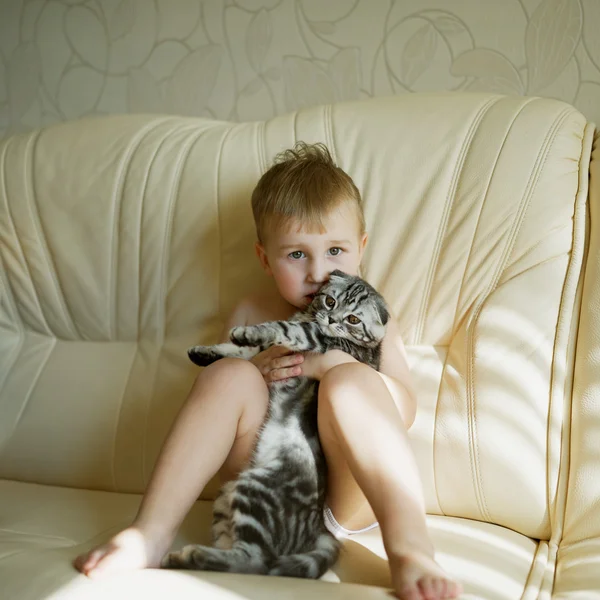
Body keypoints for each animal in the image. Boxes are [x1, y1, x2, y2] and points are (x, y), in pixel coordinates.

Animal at [162, 270, 392, 580]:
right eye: (331, 301)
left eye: (353, 319)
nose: (332, 320)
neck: (307, 315)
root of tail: (318, 527)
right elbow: (242, 354)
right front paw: (206, 352)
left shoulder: (322, 340)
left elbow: (283, 329)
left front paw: (248, 332)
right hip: (226, 498)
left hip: (257, 490)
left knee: (255, 561)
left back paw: (191, 556)